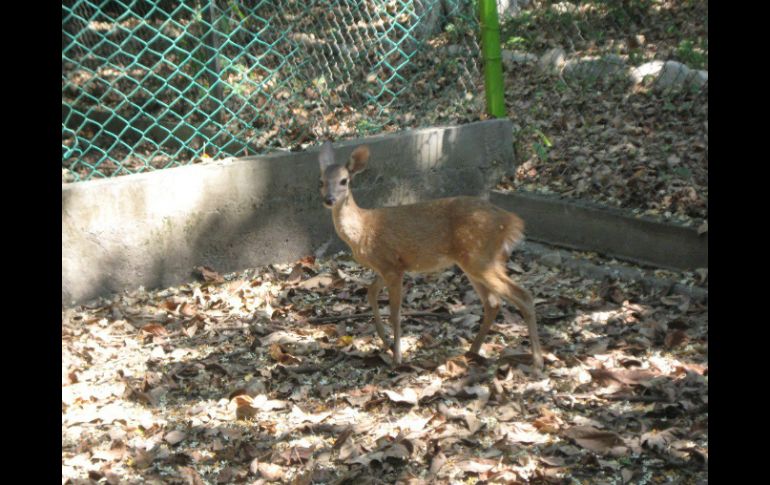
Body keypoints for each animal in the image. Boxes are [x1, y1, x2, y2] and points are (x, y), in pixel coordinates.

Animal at [316, 141, 544, 370]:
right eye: (321, 181)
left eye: (344, 180)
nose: (329, 199)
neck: (363, 230)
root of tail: (512, 222)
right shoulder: (388, 266)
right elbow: (370, 292)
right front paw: (386, 343)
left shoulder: (391, 265)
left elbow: (395, 313)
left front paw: (397, 358)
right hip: (474, 261)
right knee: (493, 303)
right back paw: (473, 351)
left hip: (480, 258)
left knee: (523, 296)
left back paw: (537, 361)